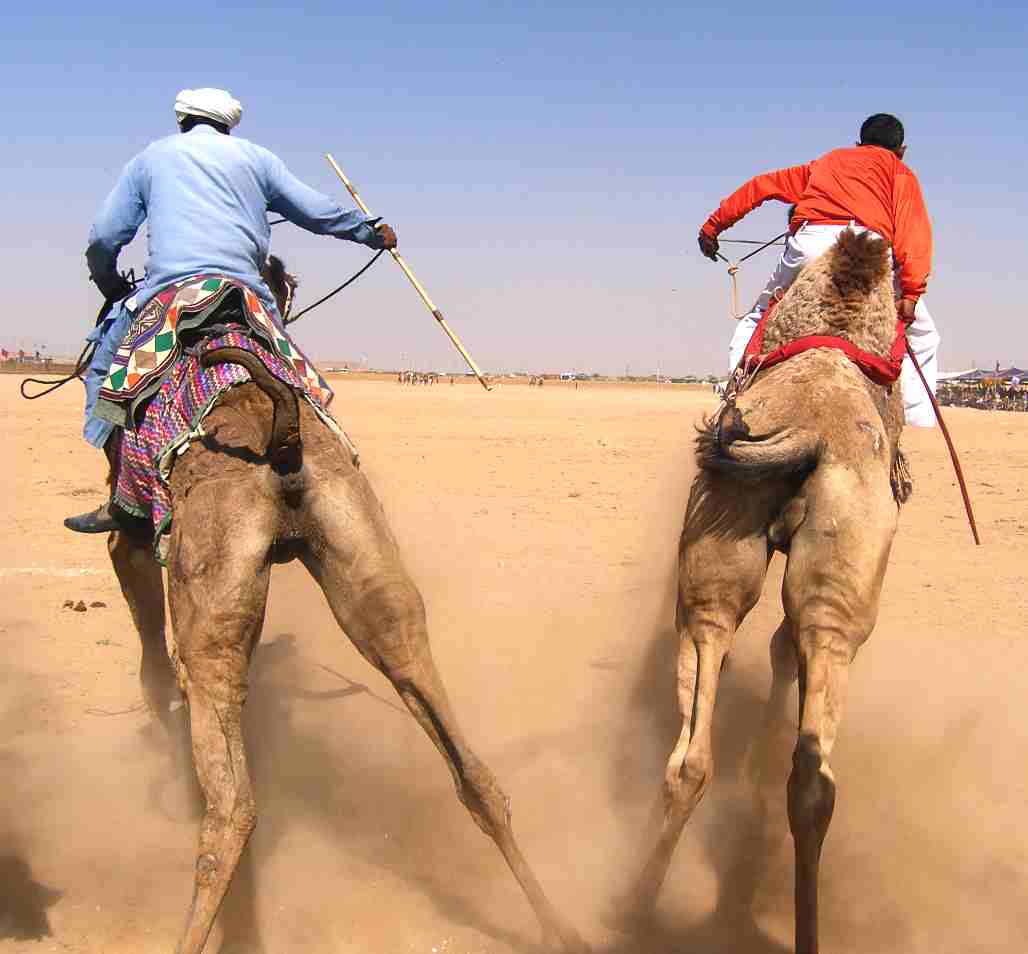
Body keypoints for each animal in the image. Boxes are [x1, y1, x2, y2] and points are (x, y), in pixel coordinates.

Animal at [108, 263, 588, 954]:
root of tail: (279, 436)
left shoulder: (129, 534)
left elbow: (145, 625)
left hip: (211, 594)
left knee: (229, 805)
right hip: (364, 552)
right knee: (467, 762)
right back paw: (562, 926)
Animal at [608, 231, 908, 954]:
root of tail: (817, 430)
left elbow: (776, 650)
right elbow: (780, 651)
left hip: (725, 544)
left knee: (718, 749)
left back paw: (639, 907)